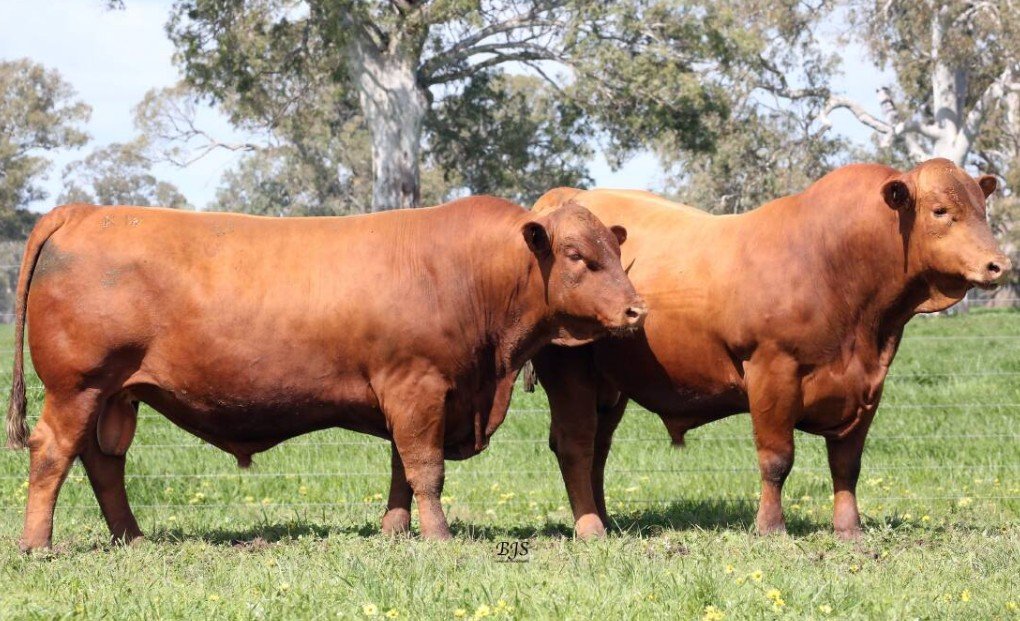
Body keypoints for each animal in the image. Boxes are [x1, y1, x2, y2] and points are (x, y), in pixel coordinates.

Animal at [5, 196, 647, 551]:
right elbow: (426, 469)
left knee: (102, 462)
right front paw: (439, 537)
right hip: (77, 386)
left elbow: (400, 469)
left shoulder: (411, 394)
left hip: (117, 394)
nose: (636, 310)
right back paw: (39, 545)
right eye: (577, 256)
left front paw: (394, 531)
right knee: (52, 453)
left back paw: (131, 538)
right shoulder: (418, 387)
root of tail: (86, 211)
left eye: (616, 253)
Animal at [527, 158, 1011, 540]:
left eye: (982, 209)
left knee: (598, 447)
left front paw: (849, 529)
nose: (1000, 265)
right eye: (941, 210)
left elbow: (847, 463)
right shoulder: (771, 370)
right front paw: (771, 527)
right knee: (575, 444)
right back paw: (590, 528)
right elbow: (777, 459)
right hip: (569, 369)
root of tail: (563, 199)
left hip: (609, 385)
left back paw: (604, 519)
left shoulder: (869, 384)